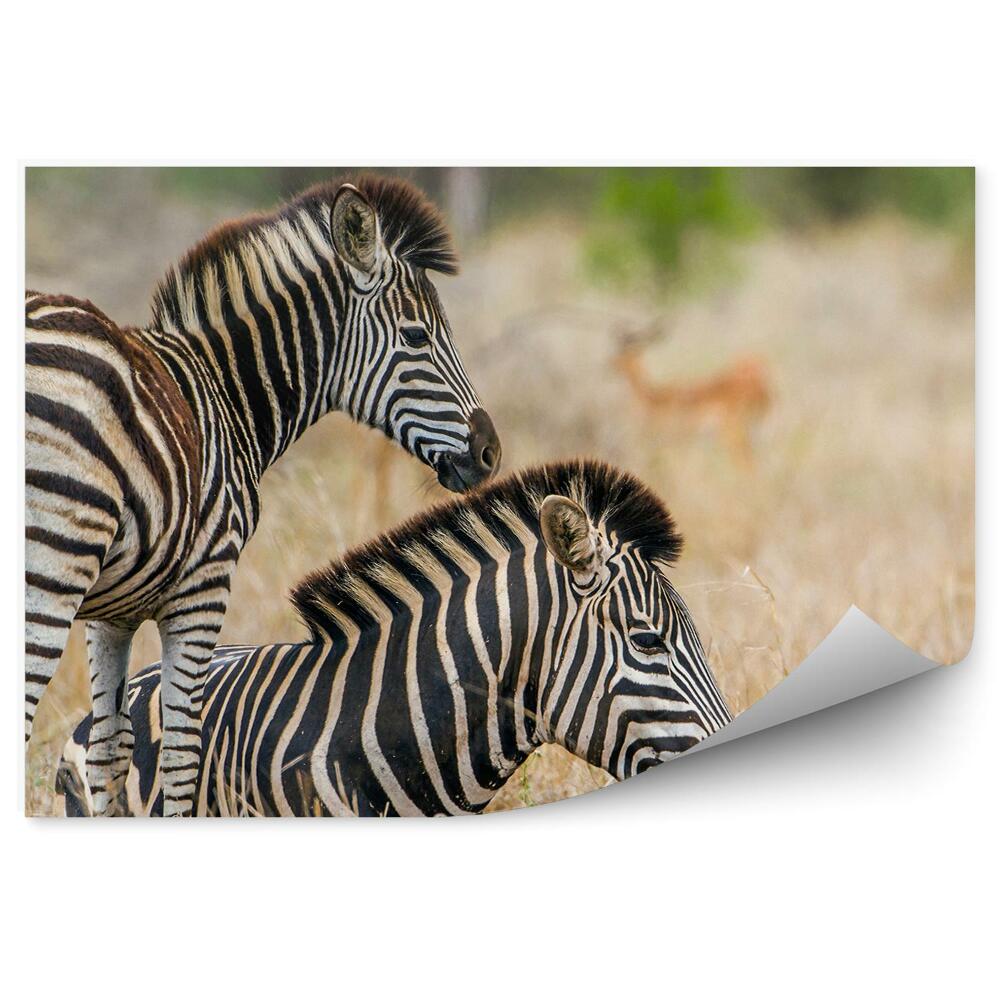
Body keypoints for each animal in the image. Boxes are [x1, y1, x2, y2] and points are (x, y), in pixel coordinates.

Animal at [26, 175, 500, 817]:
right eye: (416, 337)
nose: (490, 452)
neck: (226, 395)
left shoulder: (110, 611)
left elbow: (109, 749)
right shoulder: (204, 584)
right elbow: (183, 748)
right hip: (52, 563)